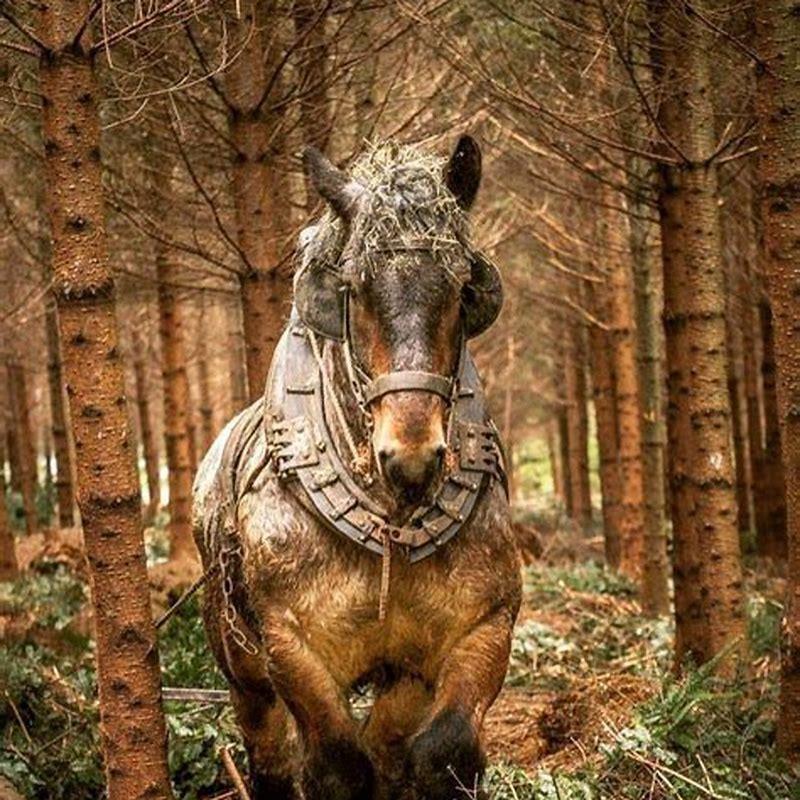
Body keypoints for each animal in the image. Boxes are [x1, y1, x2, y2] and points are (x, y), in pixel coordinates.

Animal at [193, 135, 522, 800]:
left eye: (460, 289)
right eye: (356, 288)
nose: (411, 459)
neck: (389, 522)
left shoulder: (480, 627)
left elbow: (442, 749)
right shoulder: (290, 645)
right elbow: (339, 766)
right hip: (242, 669)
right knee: (270, 752)